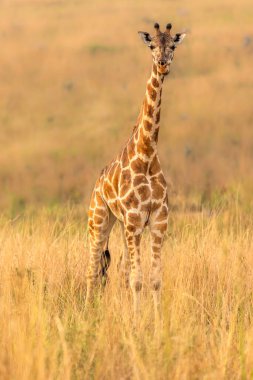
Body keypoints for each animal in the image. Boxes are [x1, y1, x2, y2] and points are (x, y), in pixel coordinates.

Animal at [85, 21, 186, 324]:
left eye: (172, 45)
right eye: (151, 45)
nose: (163, 64)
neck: (147, 155)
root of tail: (97, 183)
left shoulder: (157, 221)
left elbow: (153, 278)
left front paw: (156, 323)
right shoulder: (133, 220)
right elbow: (137, 279)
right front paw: (136, 322)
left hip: (119, 225)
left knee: (116, 269)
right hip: (98, 221)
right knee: (93, 270)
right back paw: (87, 314)